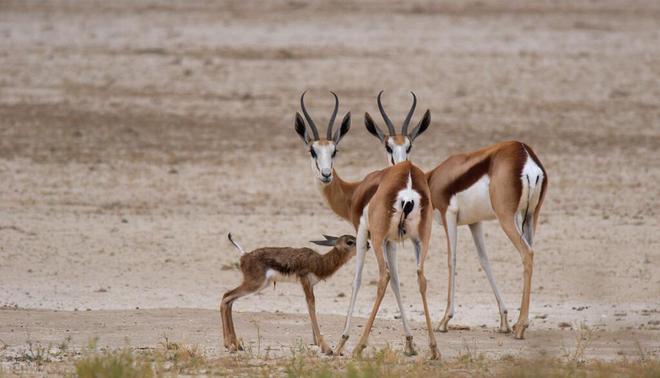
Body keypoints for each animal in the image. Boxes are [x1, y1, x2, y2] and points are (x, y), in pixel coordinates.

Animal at [220, 233, 356, 354]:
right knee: (226, 297)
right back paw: (230, 345)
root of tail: (244, 255)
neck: (319, 262)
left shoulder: (311, 286)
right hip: (254, 285)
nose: (363, 245)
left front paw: (320, 345)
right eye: (349, 241)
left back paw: (235, 345)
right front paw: (326, 349)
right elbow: (311, 306)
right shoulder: (305, 281)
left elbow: (311, 307)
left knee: (229, 301)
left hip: (260, 285)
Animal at [294, 91, 438, 358]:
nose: (326, 174)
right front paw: (410, 343)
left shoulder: (363, 233)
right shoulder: (392, 241)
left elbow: (358, 279)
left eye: (334, 150)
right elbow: (398, 283)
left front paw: (341, 341)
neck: (355, 192)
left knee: (383, 277)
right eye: (312, 151)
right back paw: (434, 349)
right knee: (420, 277)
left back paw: (358, 345)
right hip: (420, 238)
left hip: (379, 238)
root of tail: (408, 176)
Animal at [366, 92, 548, 340]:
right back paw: (520, 324)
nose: (402, 166)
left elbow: (451, 260)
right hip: (531, 216)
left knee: (527, 253)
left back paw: (521, 327)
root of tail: (525, 155)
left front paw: (444, 320)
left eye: (409, 145)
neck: (432, 179)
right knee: (531, 251)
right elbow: (484, 260)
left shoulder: (448, 216)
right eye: (388, 146)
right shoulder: (475, 222)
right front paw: (503, 320)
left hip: (507, 218)